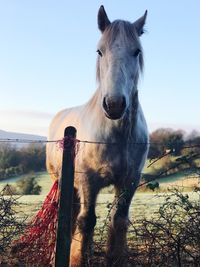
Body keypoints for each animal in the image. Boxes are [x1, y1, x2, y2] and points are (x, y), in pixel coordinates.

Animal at [47, 5, 149, 266]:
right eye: (99, 51)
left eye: (136, 51)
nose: (114, 104)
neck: (117, 134)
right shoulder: (88, 181)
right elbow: (86, 221)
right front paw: (78, 258)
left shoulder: (129, 180)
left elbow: (119, 220)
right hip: (62, 181)